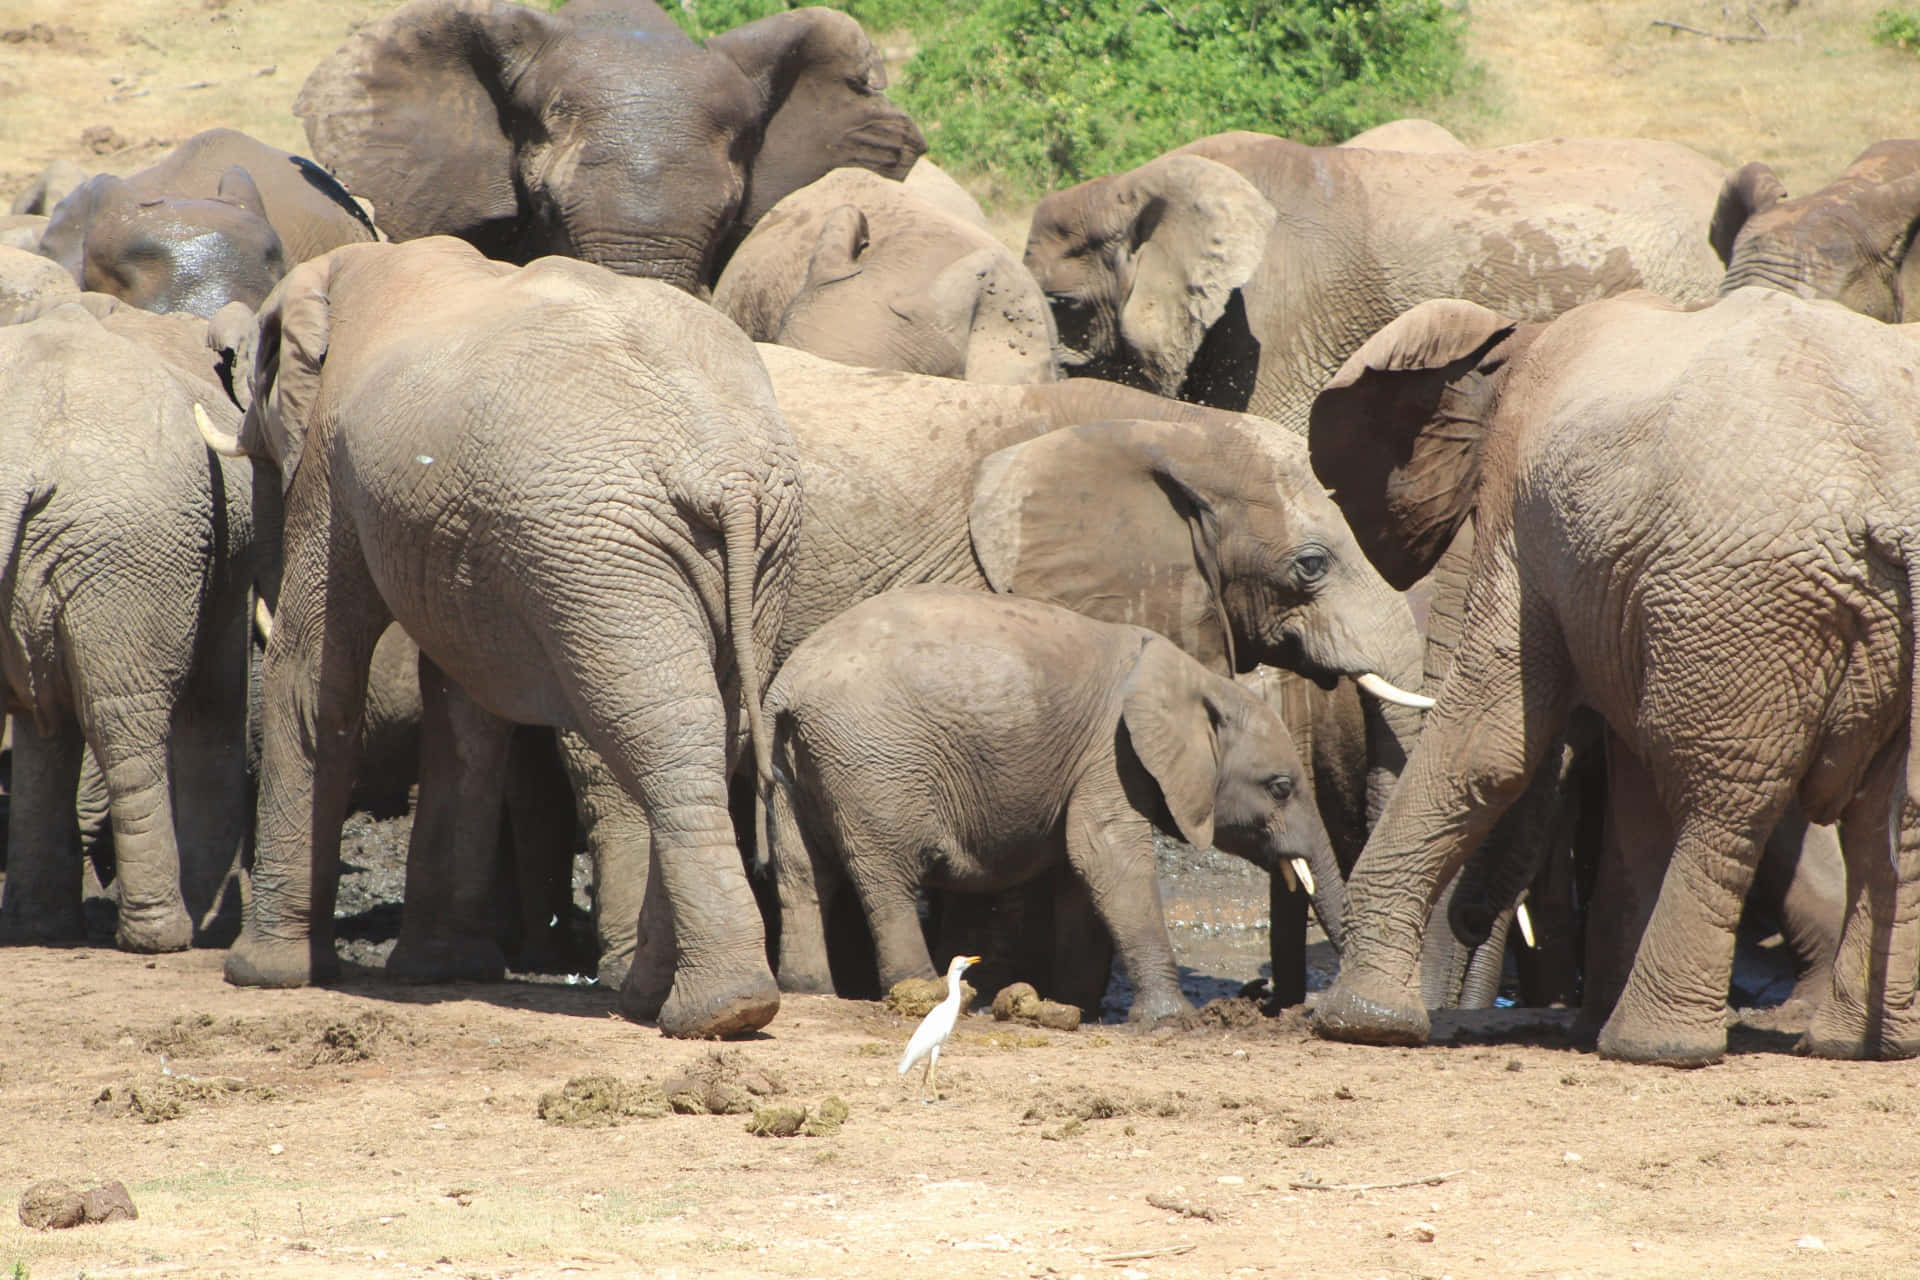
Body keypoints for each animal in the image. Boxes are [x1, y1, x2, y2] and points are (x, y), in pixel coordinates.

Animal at [0, 299, 259, 953]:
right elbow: (216, 705)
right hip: (133, 543)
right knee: (126, 721)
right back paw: (163, 935)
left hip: (111, 542)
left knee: (62, 719)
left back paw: (40, 928)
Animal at [199, 236, 802, 1039]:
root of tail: (728, 475)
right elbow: (463, 710)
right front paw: (437, 970)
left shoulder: (333, 465)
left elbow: (316, 676)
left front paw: (263, 974)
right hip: (743, 547)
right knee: (707, 729)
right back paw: (677, 1006)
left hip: (603, 555)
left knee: (660, 728)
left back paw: (714, 1011)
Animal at [766, 585, 1344, 1023]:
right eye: (1280, 788)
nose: (1272, 1002)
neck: (1198, 680)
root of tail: (787, 689)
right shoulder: (1112, 754)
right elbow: (1108, 859)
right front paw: (1171, 1020)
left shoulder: (1092, 762)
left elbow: (1077, 871)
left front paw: (1075, 1007)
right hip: (874, 762)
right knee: (889, 879)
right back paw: (921, 991)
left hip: (794, 766)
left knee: (802, 874)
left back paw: (807, 986)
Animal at [1306, 288, 1920, 1065]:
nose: (1474, 919)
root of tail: (1892, 501)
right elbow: (1627, 791)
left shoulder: (1524, 522)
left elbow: (1490, 741)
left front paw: (1362, 1024)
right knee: (1884, 814)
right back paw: (1857, 1045)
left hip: (1736, 596)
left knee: (1722, 803)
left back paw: (1654, 1046)